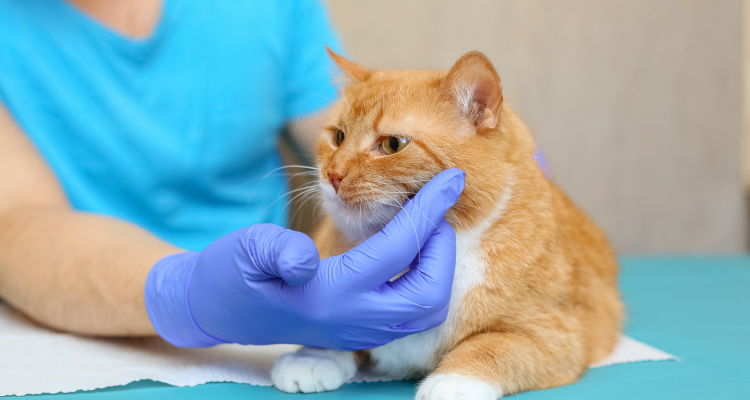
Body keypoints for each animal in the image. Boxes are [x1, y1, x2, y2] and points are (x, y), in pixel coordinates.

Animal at [270, 50, 624, 400]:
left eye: (393, 145)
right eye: (338, 136)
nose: (333, 175)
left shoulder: (556, 332)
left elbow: (491, 345)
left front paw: (455, 381)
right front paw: (314, 356)